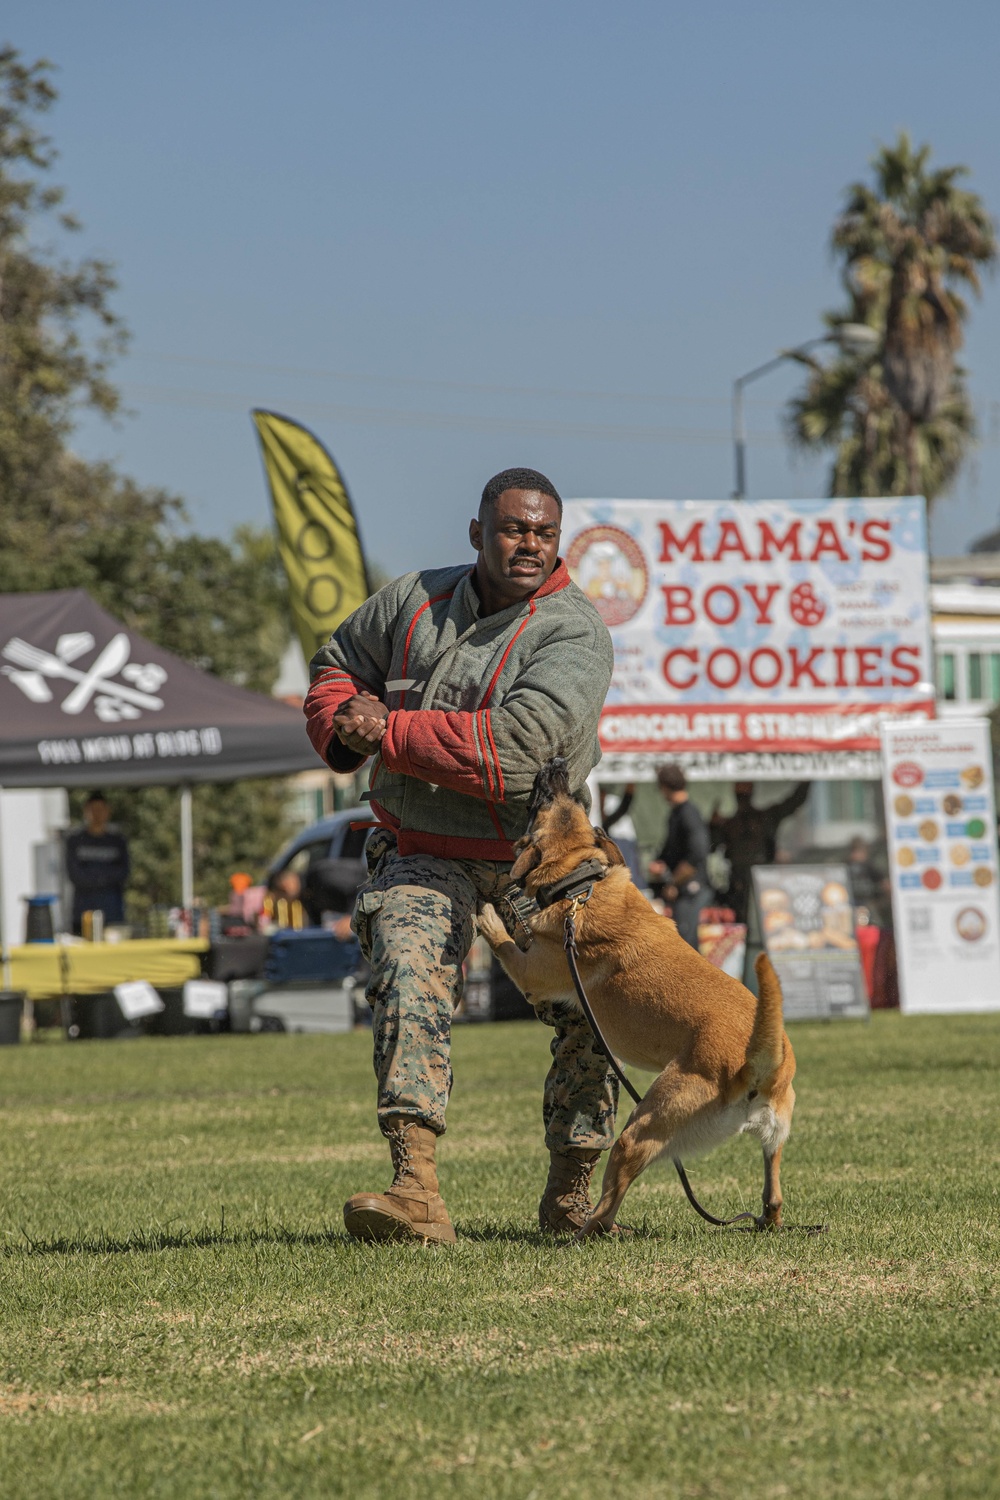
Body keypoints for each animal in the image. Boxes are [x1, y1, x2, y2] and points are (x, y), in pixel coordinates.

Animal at [476, 756, 797, 1236]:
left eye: (545, 803)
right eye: (573, 803)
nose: (555, 765)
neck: (580, 885)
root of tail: (758, 1065)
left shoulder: (533, 971)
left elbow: (506, 940)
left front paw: (488, 914)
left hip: (638, 1129)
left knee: (608, 1206)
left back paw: (583, 1231)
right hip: (774, 1136)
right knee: (774, 1197)